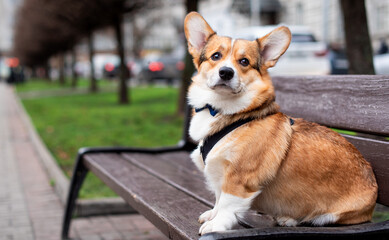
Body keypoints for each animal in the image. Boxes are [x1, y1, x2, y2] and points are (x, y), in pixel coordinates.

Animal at [183, 12, 378, 235]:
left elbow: (226, 204)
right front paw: (212, 214)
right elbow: (218, 198)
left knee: (317, 219)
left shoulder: (239, 178)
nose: (226, 72)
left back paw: (289, 219)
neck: (225, 110)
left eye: (244, 61)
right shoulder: (219, 176)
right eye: (216, 56)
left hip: (334, 214)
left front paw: (216, 225)